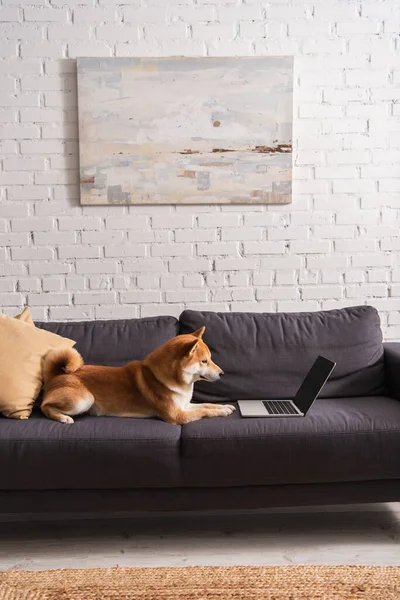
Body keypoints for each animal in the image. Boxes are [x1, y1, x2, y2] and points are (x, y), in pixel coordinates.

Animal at [40, 328, 234, 426]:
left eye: (210, 359)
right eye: (204, 361)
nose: (222, 373)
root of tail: (55, 376)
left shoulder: (184, 405)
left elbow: (206, 404)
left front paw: (225, 406)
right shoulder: (177, 415)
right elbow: (204, 411)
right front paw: (221, 411)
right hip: (85, 399)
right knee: (44, 407)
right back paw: (63, 418)